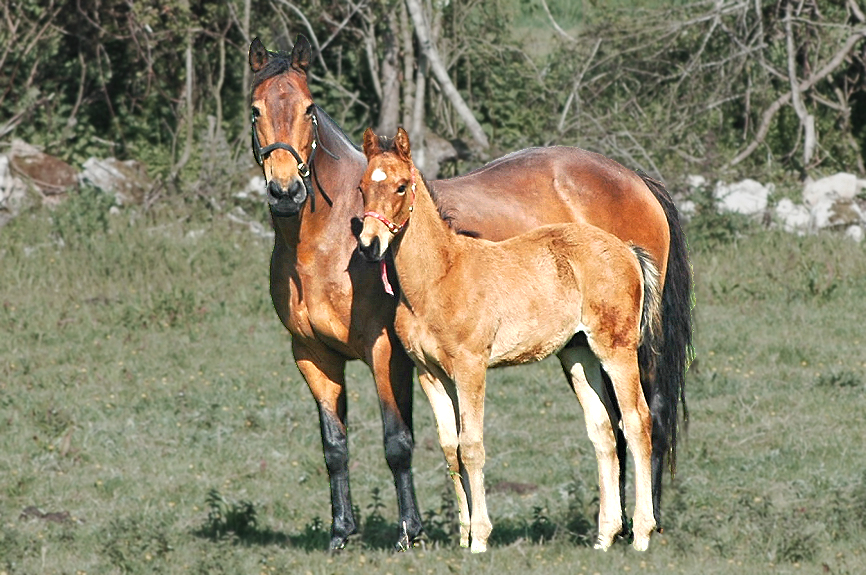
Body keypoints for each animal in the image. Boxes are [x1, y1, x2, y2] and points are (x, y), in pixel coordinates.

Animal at [357, 127, 662, 552]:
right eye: (362, 187)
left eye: (401, 187)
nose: (369, 245)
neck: (439, 276)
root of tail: (628, 250)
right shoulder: (430, 374)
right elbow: (450, 448)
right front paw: (463, 534)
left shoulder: (471, 367)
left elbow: (472, 445)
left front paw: (480, 540)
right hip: (579, 355)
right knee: (603, 429)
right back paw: (604, 537)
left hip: (616, 348)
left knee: (637, 421)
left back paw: (642, 534)